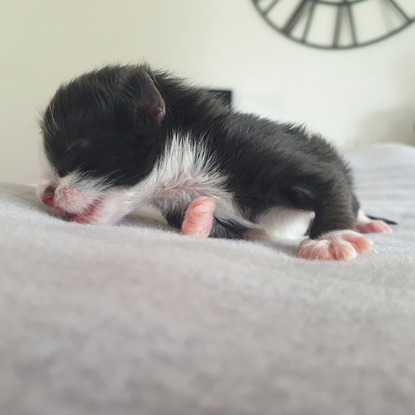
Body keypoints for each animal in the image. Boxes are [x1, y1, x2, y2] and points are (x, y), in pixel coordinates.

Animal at [37, 64, 394, 260]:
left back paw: (368, 224)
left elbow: (329, 186)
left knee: (352, 196)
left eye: (73, 153)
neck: (190, 176)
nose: (45, 193)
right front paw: (199, 217)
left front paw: (332, 240)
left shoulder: (272, 152)